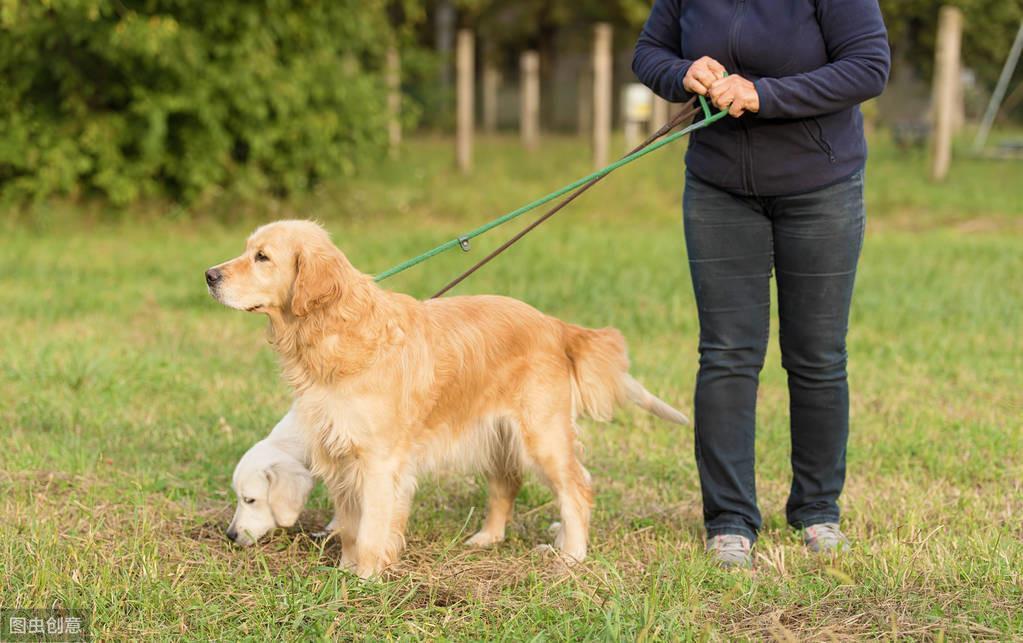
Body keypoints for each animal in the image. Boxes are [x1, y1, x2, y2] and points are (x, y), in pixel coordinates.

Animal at [206, 220, 687, 576]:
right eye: (247, 249)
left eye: (262, 257)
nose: (209, 276)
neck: (333, 332)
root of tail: (554, 324)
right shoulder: (339, 453)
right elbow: (350, 525)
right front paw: (346, 569)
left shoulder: (378, 460)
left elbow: (372, 526)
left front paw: (364, 579)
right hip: (496, 436)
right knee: (506, 486)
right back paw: (487, 538)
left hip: (541, 436)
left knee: (577, 489)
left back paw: (571, 553)